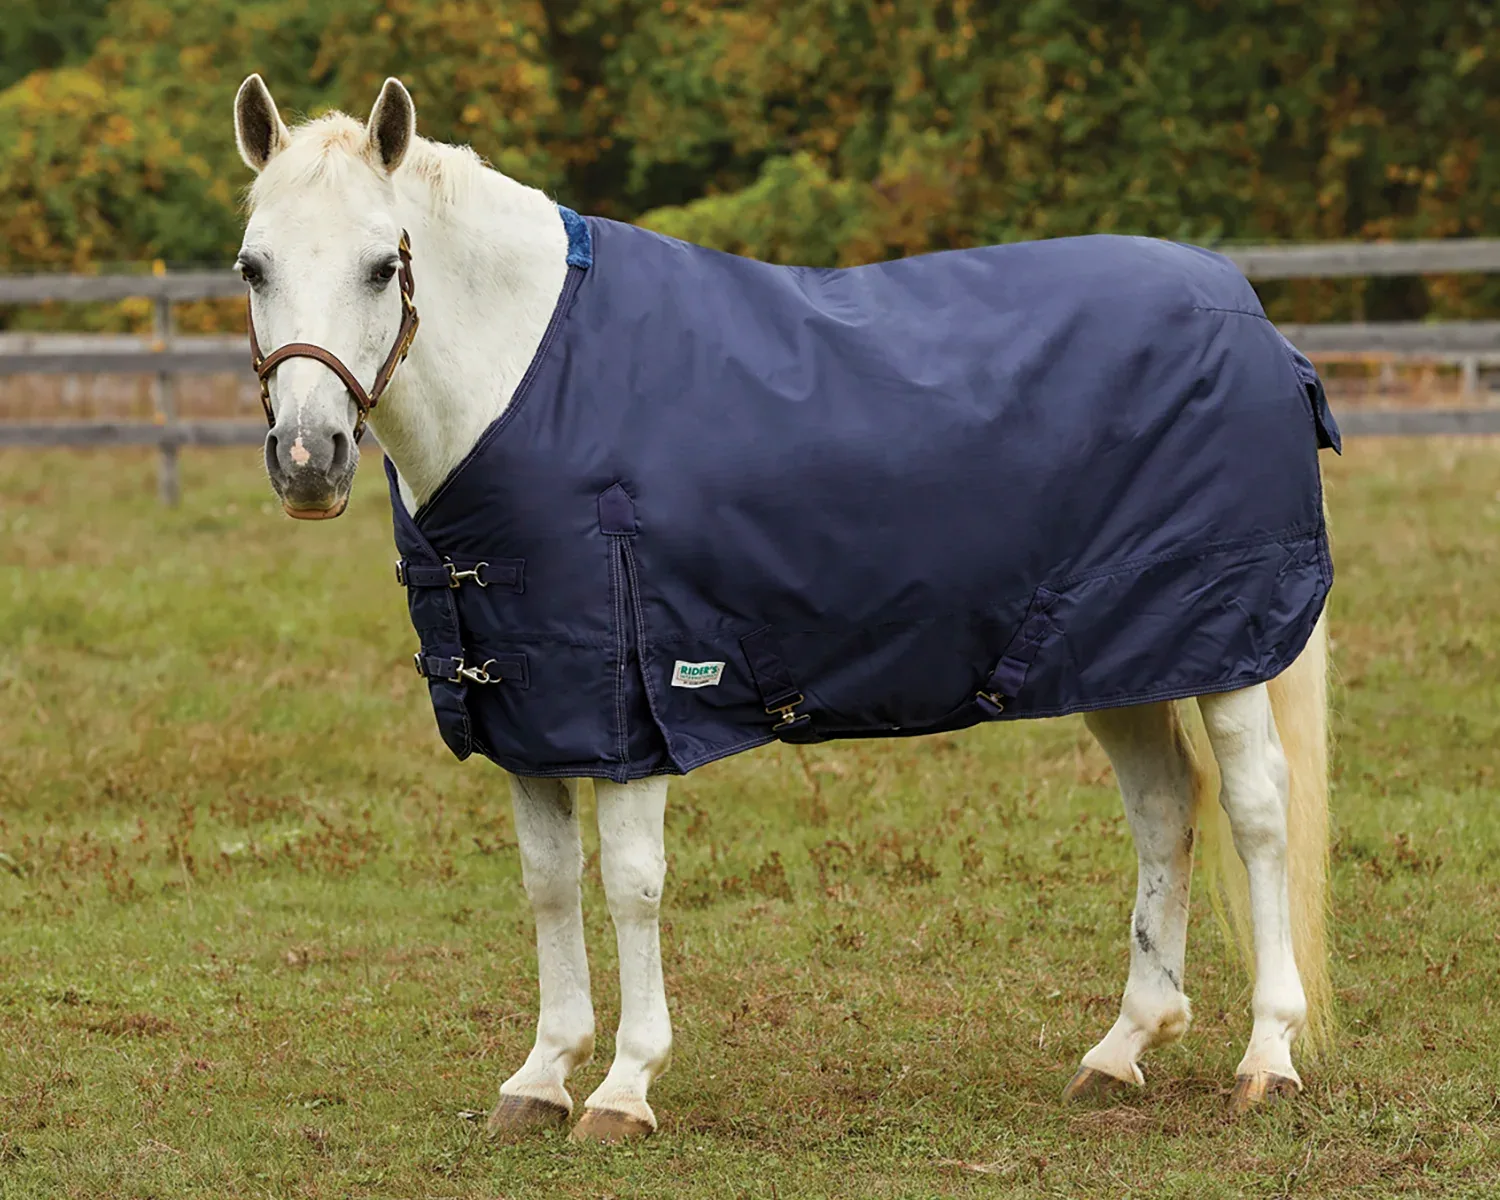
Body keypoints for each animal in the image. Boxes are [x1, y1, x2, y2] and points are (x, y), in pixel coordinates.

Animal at [232, 74, 1335, 1142]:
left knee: (1256, 813)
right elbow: (547, 882)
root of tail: (1245, 310)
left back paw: (1267, 1056)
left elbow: (631, 884)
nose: (308, 460)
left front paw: (625, 1087)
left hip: (1228, 651)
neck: (531, 383)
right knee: (1163, 811)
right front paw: (542, 1077)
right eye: (252, 268)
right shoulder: (532, 711)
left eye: (384, 266)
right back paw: (1122, 1048)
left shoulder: (639, 704)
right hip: (1121, 657)